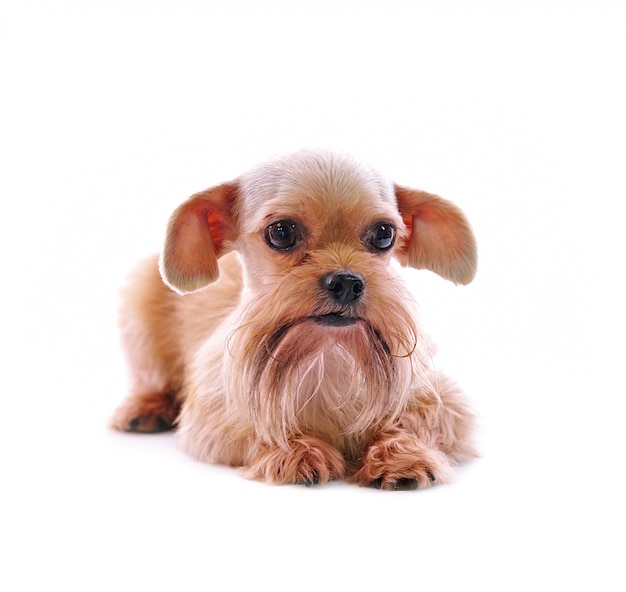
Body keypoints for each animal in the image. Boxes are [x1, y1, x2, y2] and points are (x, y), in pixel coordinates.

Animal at [111, 149, 472, 490]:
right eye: (281, 232)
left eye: (384, 234)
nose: (346, 282)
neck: (326, 354)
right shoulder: (210, 419)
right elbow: (260, 427)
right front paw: (297, 450)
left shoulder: (447, 404)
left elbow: (414, 421)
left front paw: (400, 455)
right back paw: (146, 407)